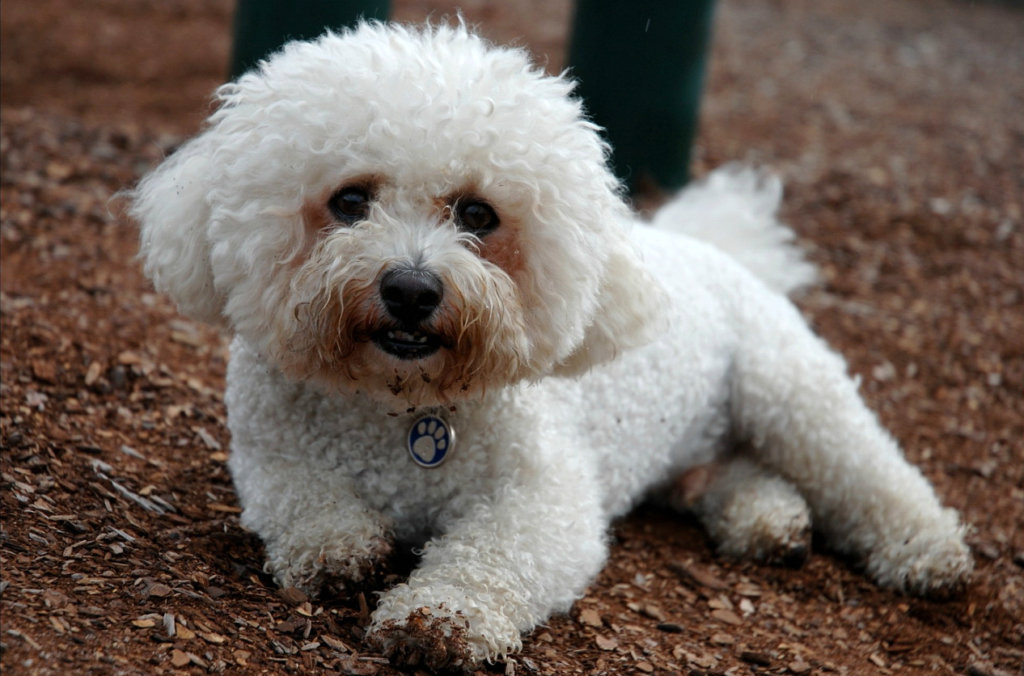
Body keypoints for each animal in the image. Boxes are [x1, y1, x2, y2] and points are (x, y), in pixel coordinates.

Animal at [132, 22, 970, 671]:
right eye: (349, 200)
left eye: (477, 214)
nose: (411, 289)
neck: (398, 405)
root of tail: (713, 246)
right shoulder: (270, 457)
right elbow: (305, 505)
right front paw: (338, 550)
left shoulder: (546, 499)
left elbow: (496, 554)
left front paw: (442, 618)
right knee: (730, 472)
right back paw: (767, 519)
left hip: (792, 395)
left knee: (870, 474)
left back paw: (928, 551)